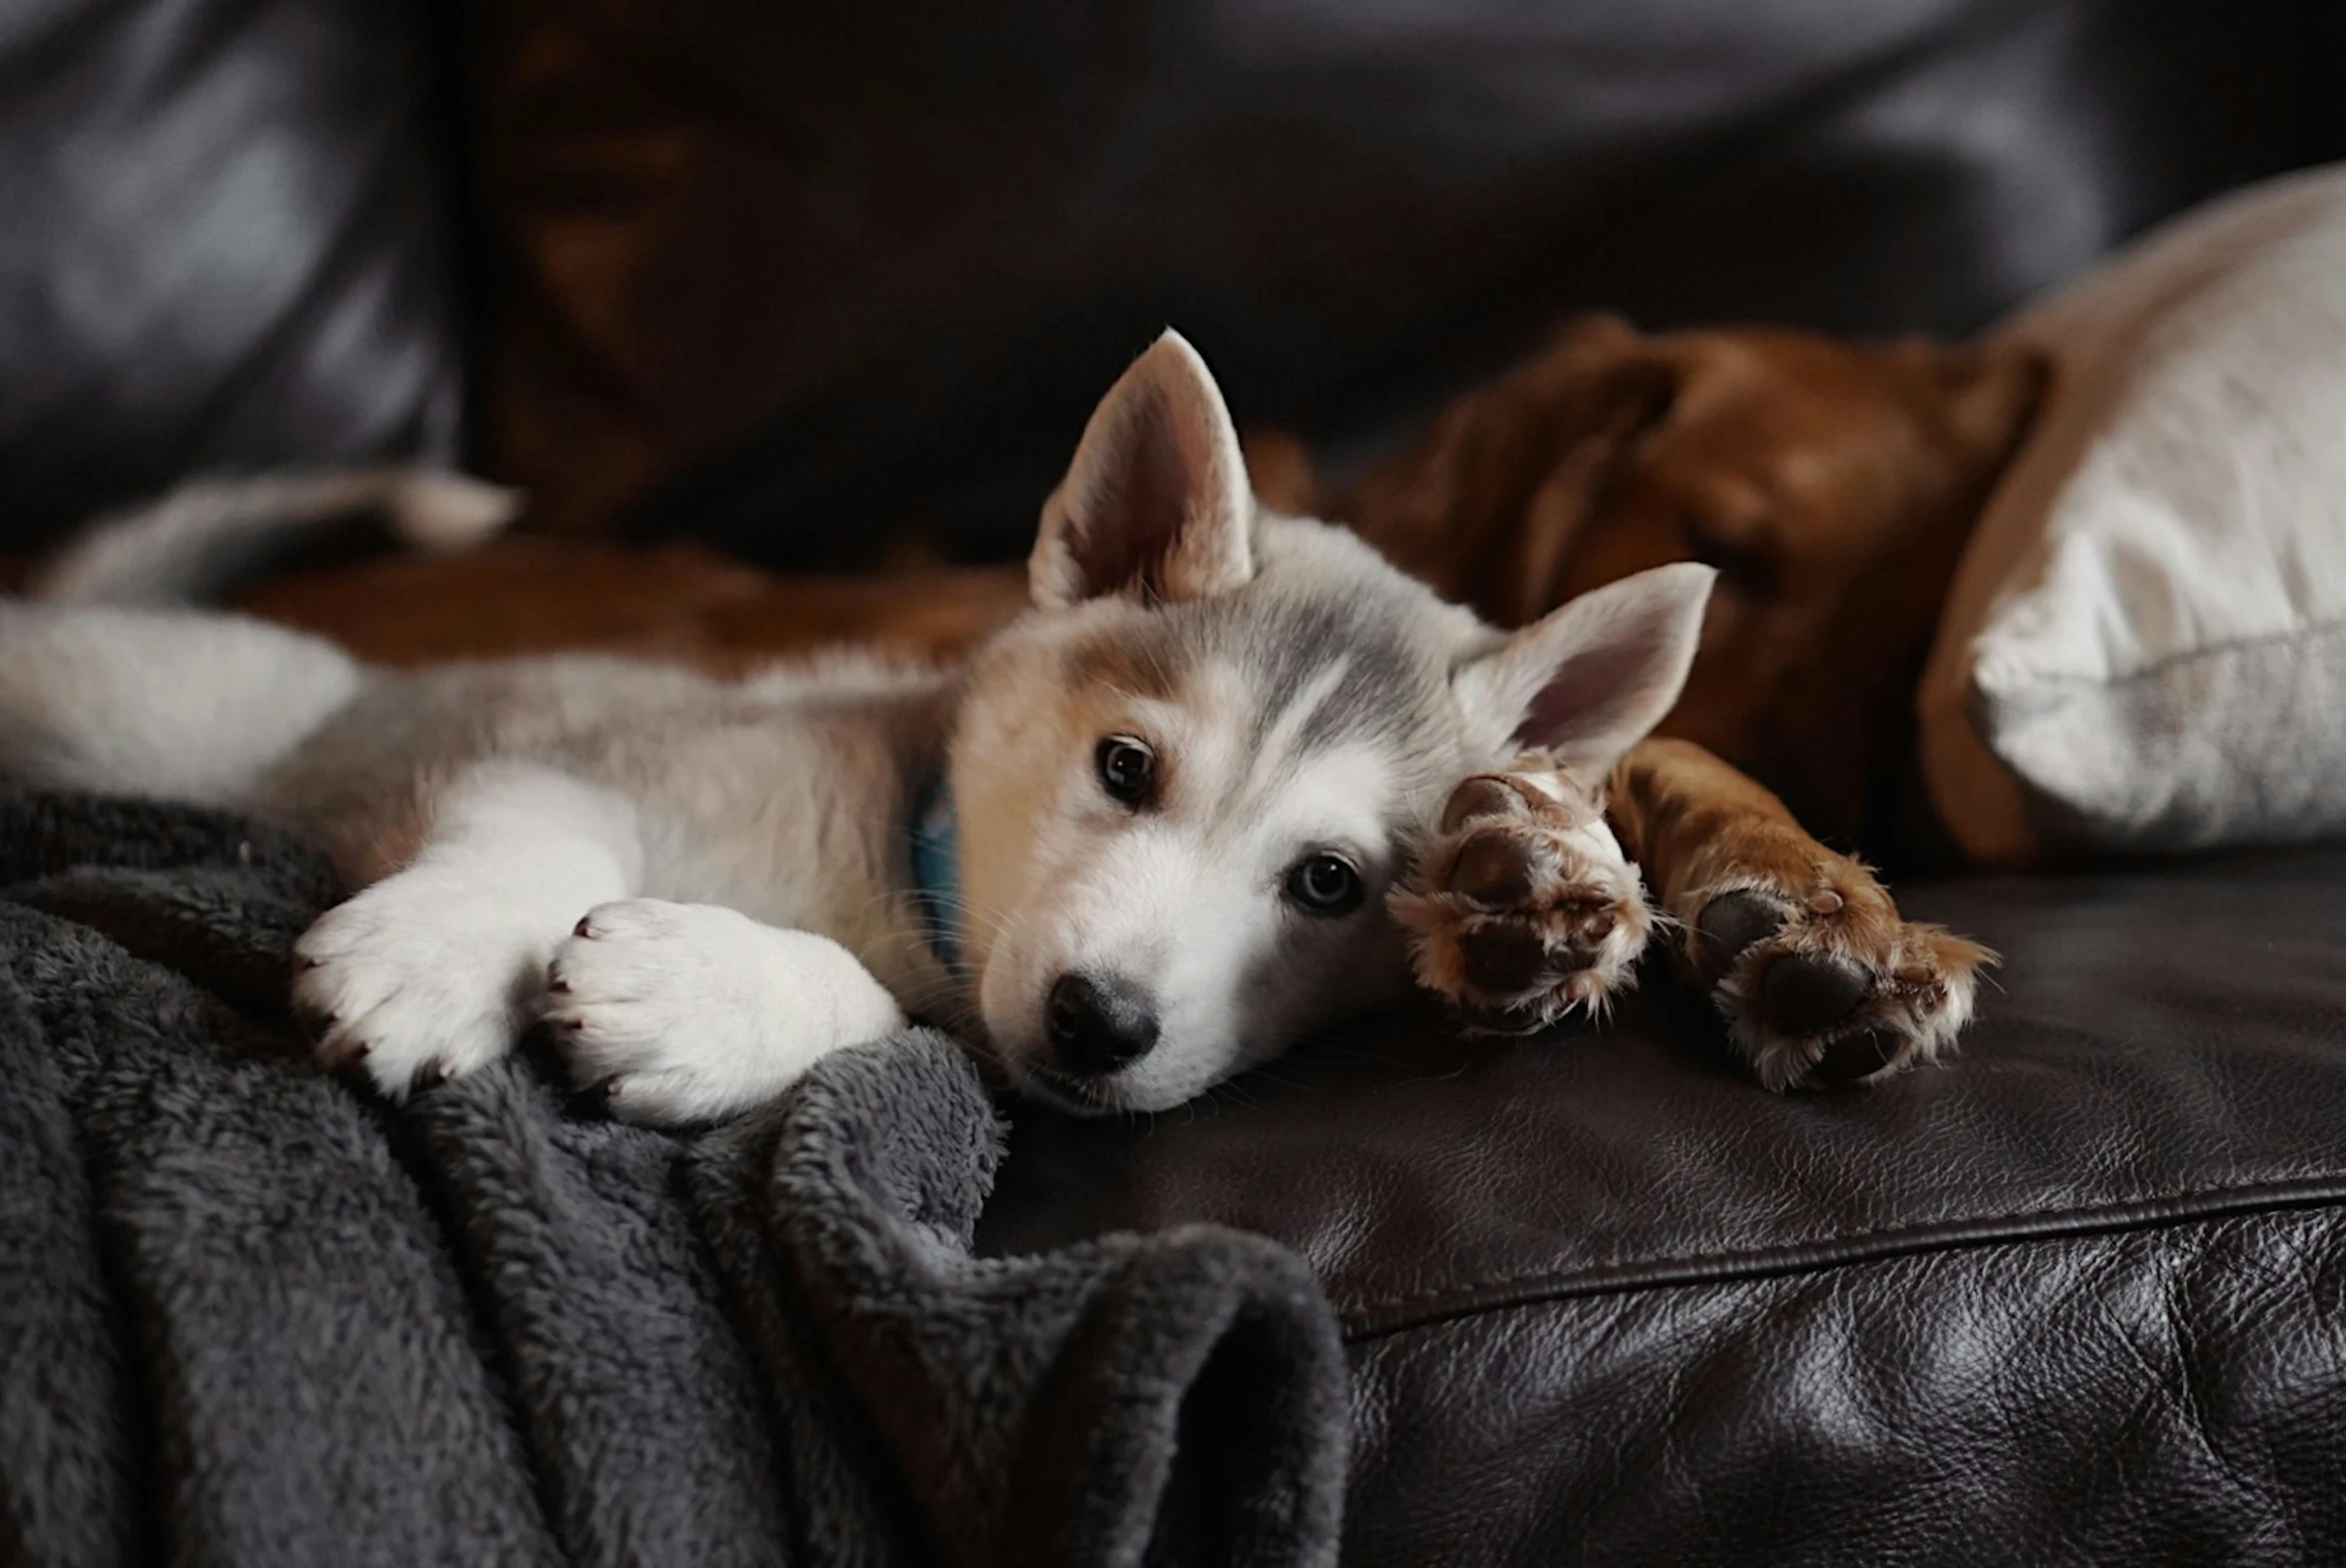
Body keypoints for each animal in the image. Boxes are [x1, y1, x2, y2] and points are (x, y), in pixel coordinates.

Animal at [0, 337, 1698, 1120]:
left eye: (1329, 883)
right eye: (1125, 767)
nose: (1098, 1022)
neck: (902, 871)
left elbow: (886, 1020)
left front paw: (702, 995)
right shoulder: (590, 749)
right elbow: (529, 831)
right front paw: (434, 953)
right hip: (143, 708)